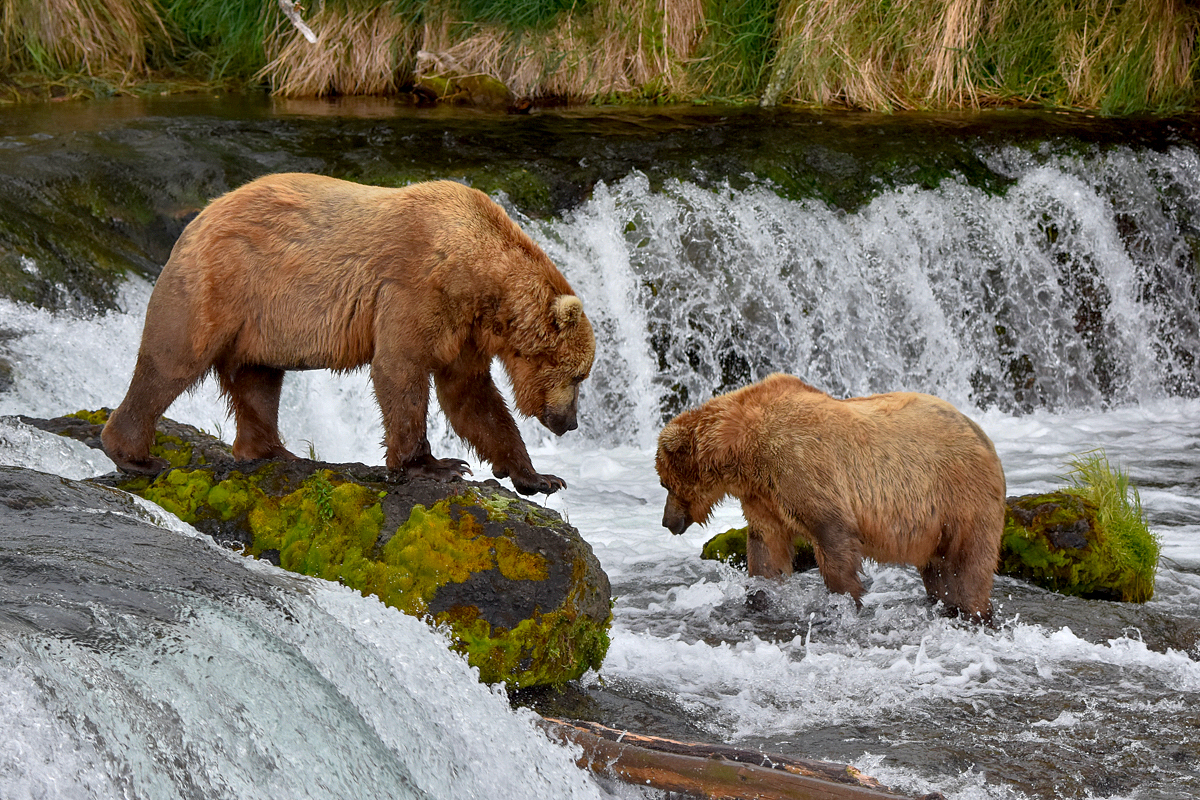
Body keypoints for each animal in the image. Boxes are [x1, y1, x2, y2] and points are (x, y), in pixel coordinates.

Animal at [103, 175, 595, 494]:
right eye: (578, 375)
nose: (569, 422)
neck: (481, 278)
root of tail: (198, 218)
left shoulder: (465, 330)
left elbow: (472, 398)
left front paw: (538, 477)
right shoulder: (417, 288)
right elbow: (400, 371)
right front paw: (434, 466)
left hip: (260, 319)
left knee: (258, 379)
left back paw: (273, 452)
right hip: (221, 285)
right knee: (172, 361)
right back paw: (136, 455)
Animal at [657, 371, 1003, 623]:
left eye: (664, 483)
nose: (666, 521)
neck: (743, 449)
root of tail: (982, 434)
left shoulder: (802, 466)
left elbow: (833, 536)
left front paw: (846, 602)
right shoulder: (763, 497)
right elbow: (765, 548)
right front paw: (759, 599)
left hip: (960, 497)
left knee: (969, 565)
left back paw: (973, 610)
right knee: (938, 569)